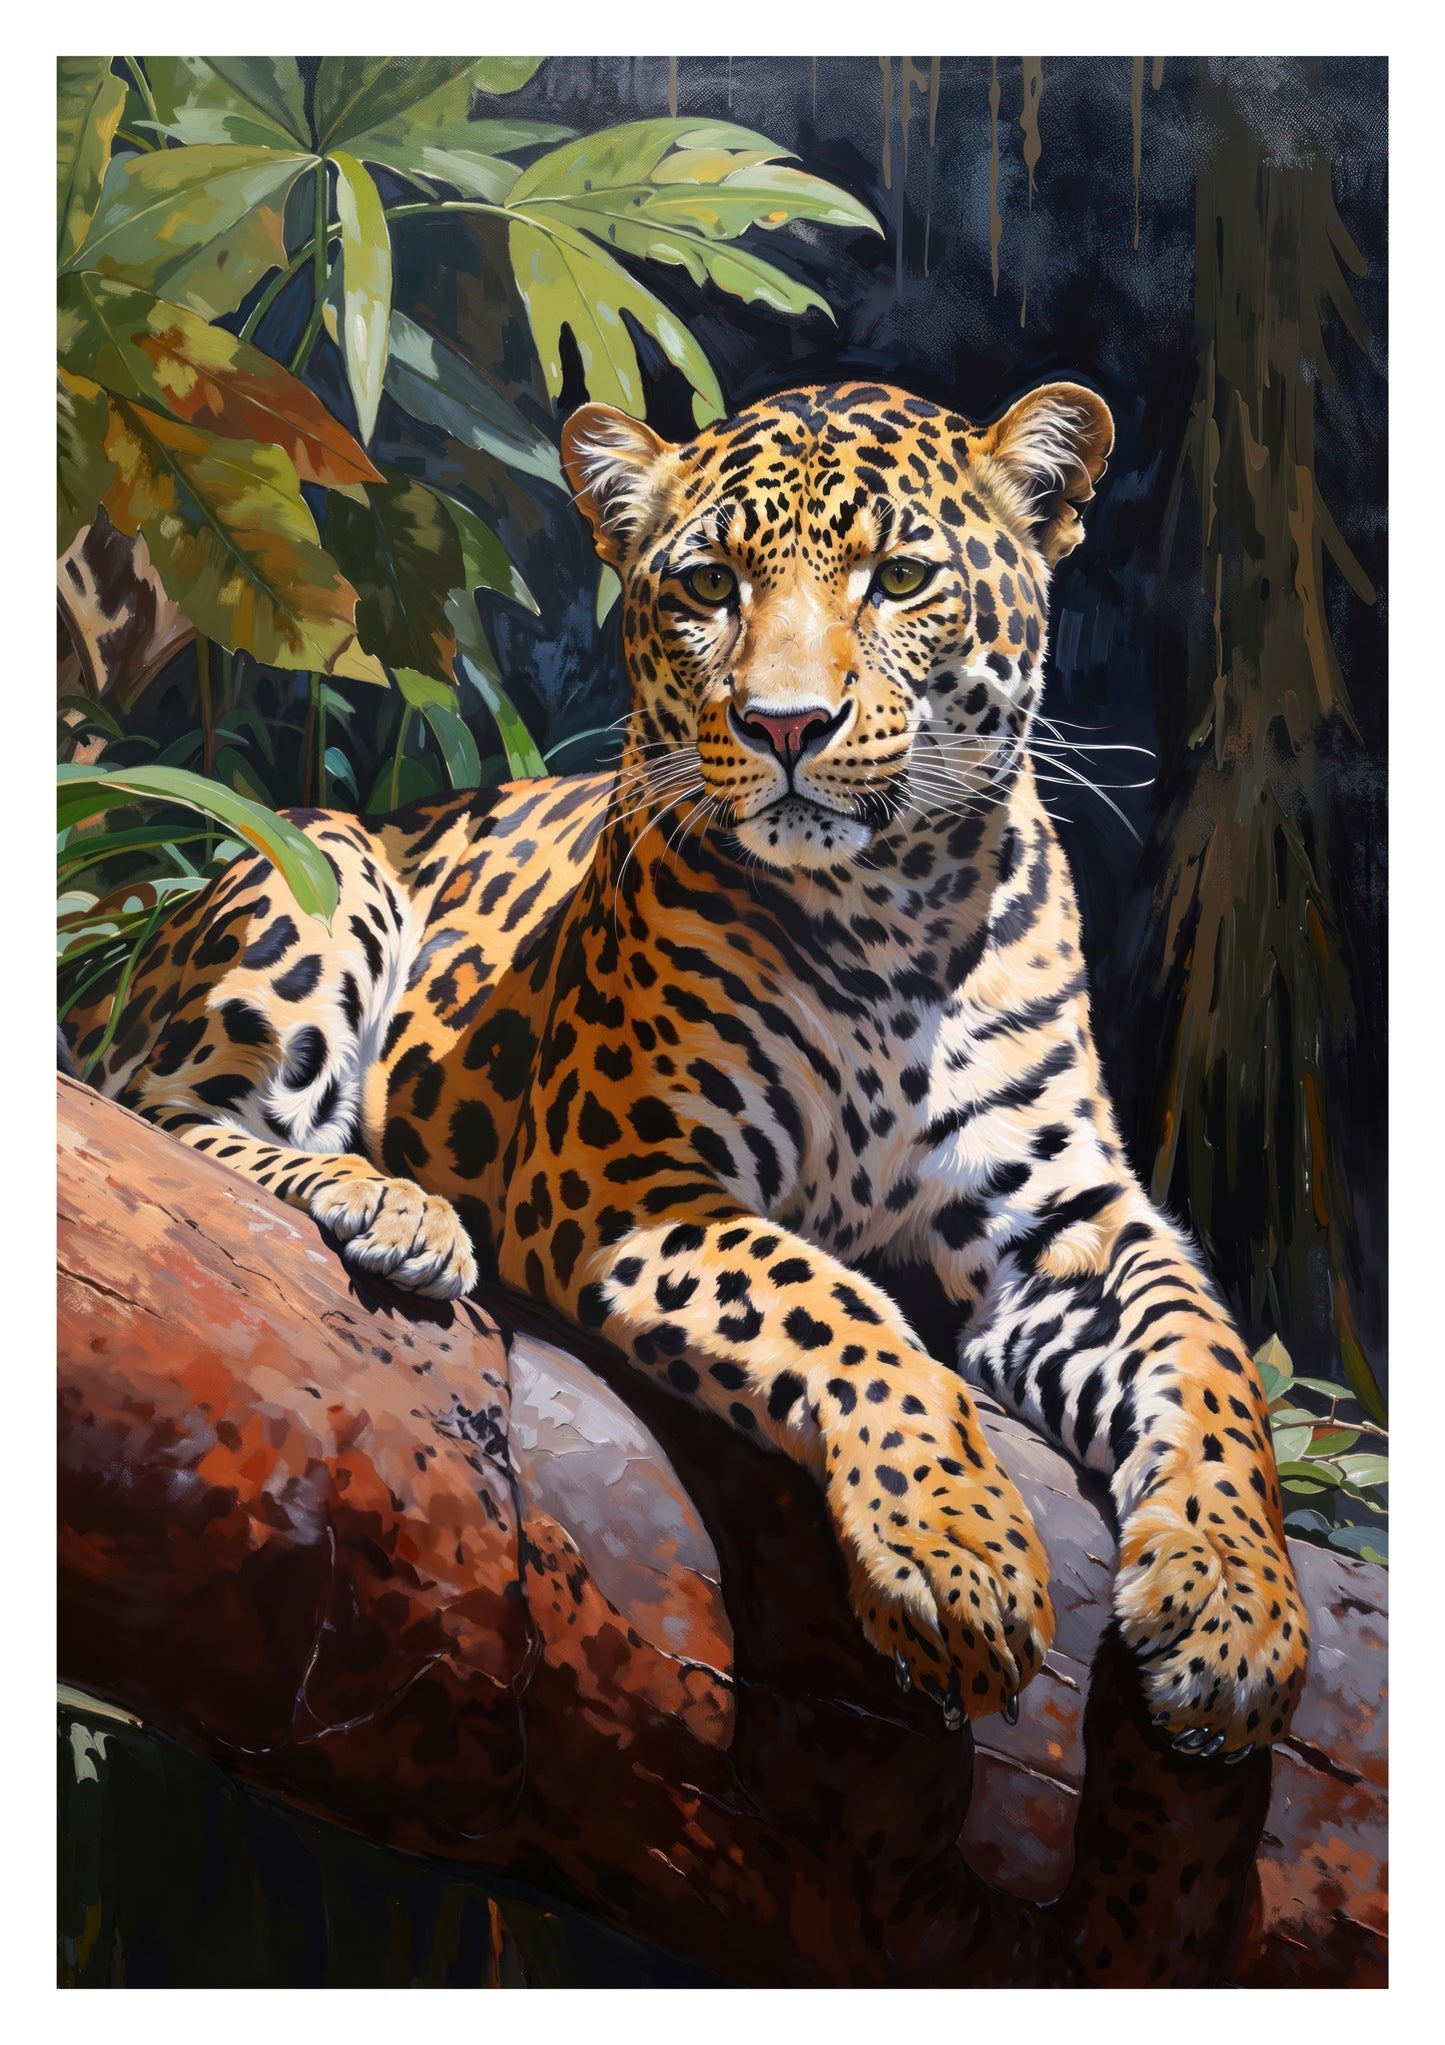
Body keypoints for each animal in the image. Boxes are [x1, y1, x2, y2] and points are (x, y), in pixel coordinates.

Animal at [65, 378, 1309, 1760]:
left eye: (900, 578)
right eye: (709, 584)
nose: (784, 724)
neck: (891, 918)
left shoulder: (1069, 1223)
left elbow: (1207, 1363)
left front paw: (1235, 1611)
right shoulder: (621, 1176)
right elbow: (836, 1304)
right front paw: (951, 1549)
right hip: (324, 860)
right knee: (156, 1111)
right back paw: (387, 1203)